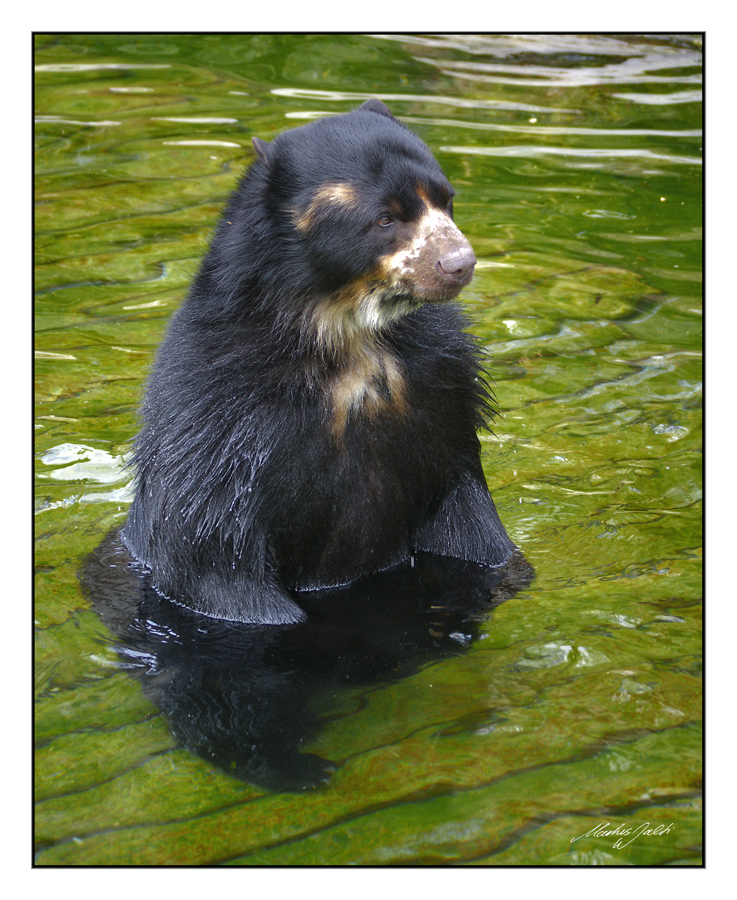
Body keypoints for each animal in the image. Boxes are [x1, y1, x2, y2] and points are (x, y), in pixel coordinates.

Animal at [122, 95, 512, 624]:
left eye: (446, 200)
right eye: (386, 218)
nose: (458, 263)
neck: (347, 336)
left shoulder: (443, 387)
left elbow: (468, 515)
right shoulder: (221, 418)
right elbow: (214, 556)